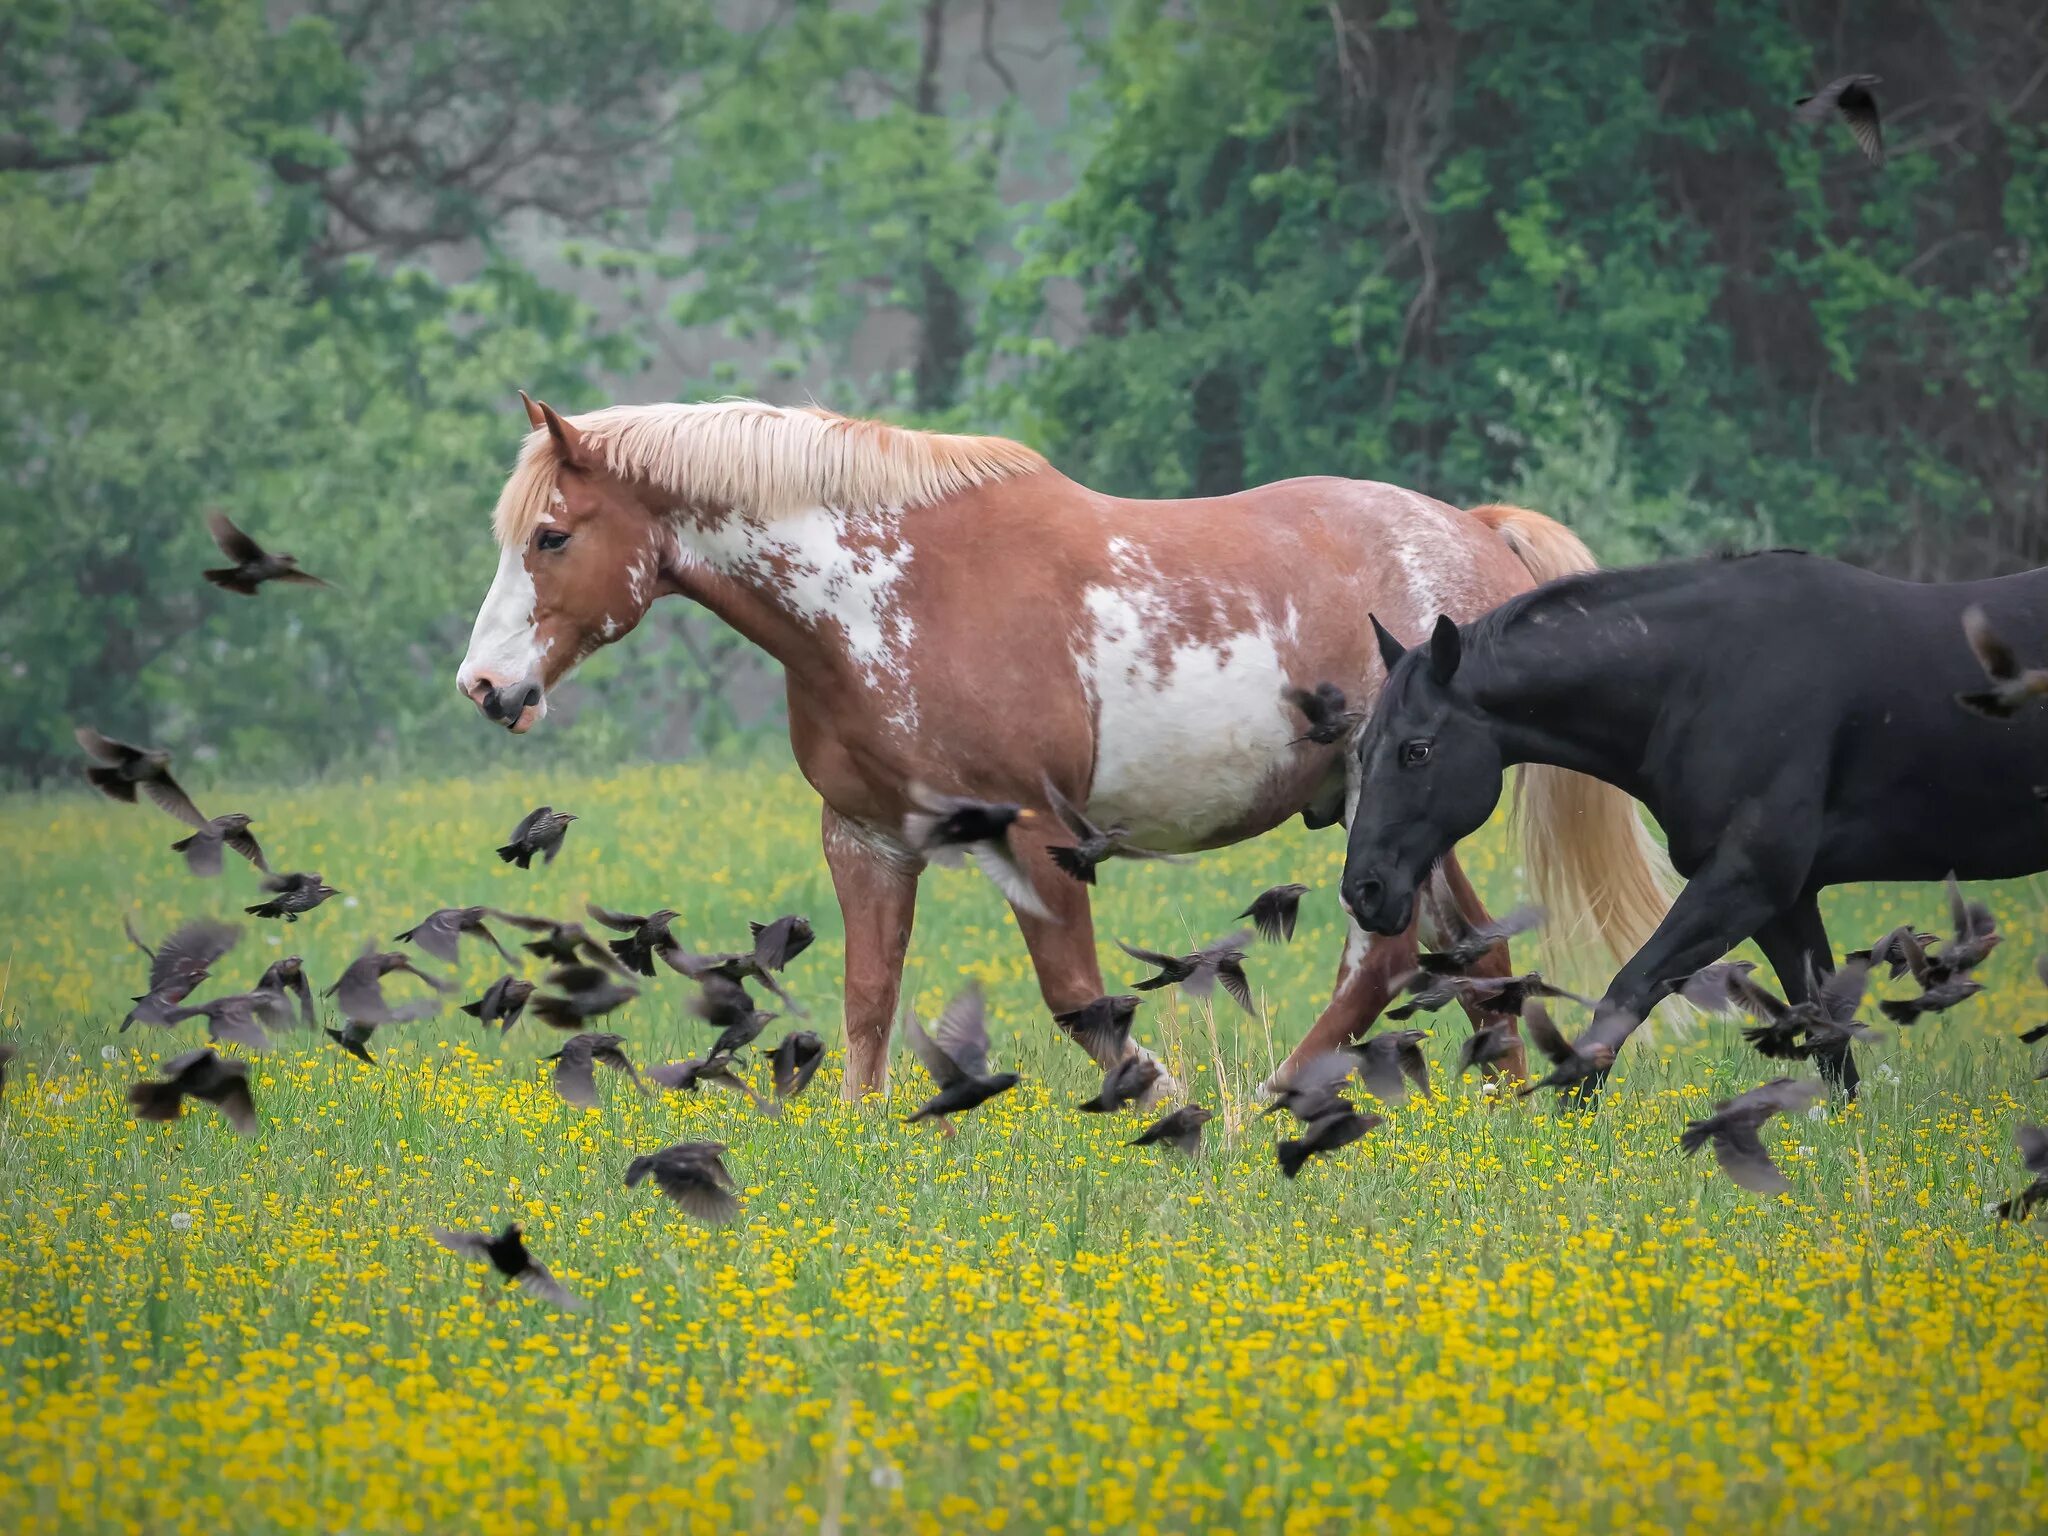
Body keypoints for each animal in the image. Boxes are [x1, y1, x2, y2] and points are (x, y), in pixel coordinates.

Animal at [460, 393, 1662, 1097]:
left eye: (551, 536)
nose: (485, 687)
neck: (888, 596)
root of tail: (1475, 534)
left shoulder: (1037, 836)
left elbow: (1080, 1001)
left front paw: (1173, 1108)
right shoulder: (866, 840)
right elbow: (867, 1002)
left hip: (1384, 800)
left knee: (1390, 952)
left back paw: (1275, 1096)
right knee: (1472, 955)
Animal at [1335, 548, 2048, 1097]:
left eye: (1417, 750)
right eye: (1362, 748)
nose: (1364, 890)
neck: (1714, 676)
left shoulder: (1743, 883)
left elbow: (1628, 992)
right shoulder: (1785, 904)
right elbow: (1827, 1033)